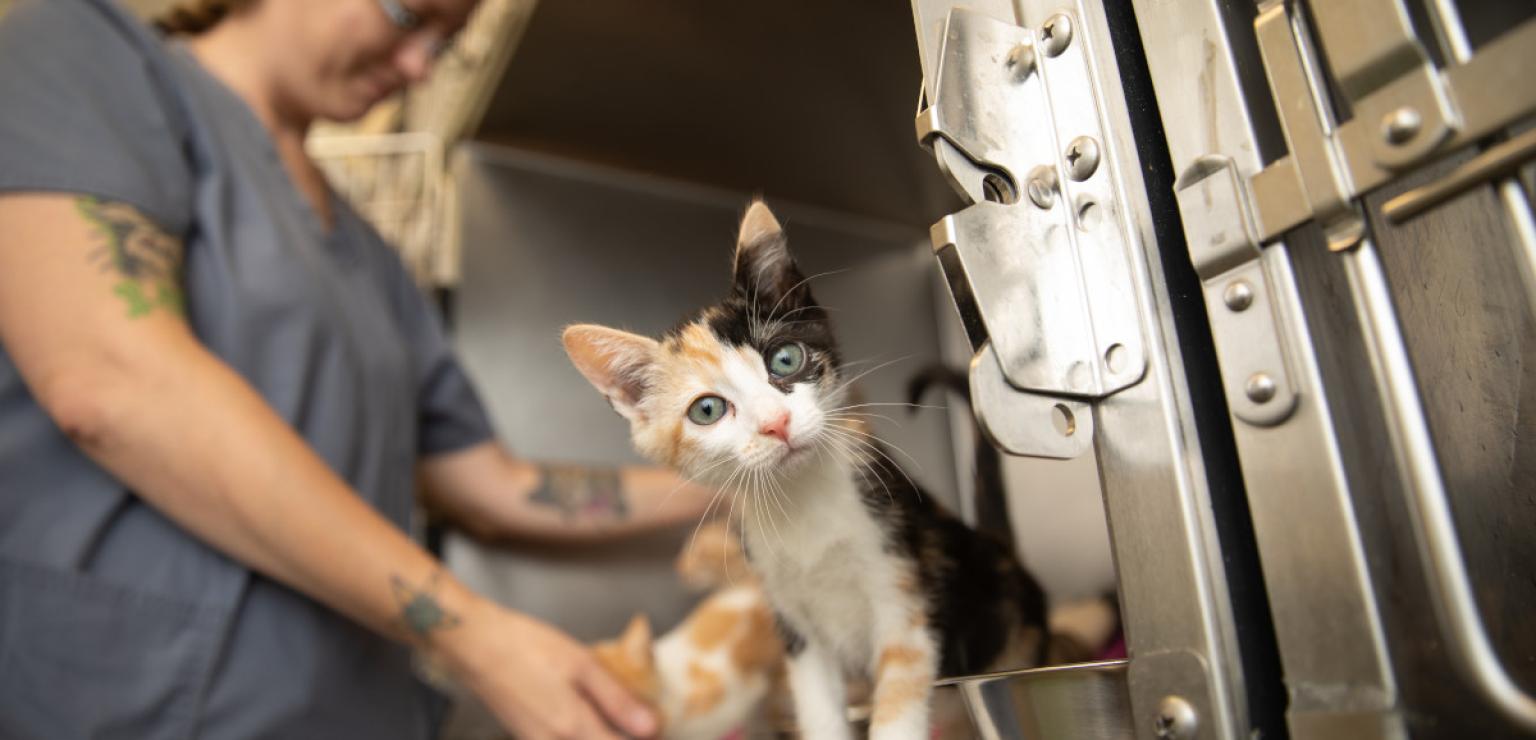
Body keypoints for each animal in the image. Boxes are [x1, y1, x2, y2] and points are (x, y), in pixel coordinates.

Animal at [562, 202, 1044, 740]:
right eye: (707, 410)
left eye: (786, 359)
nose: (776, 423)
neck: (803, 501)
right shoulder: (795, 626)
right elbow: (817, 709)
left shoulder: (904, 596)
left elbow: (899, 701)